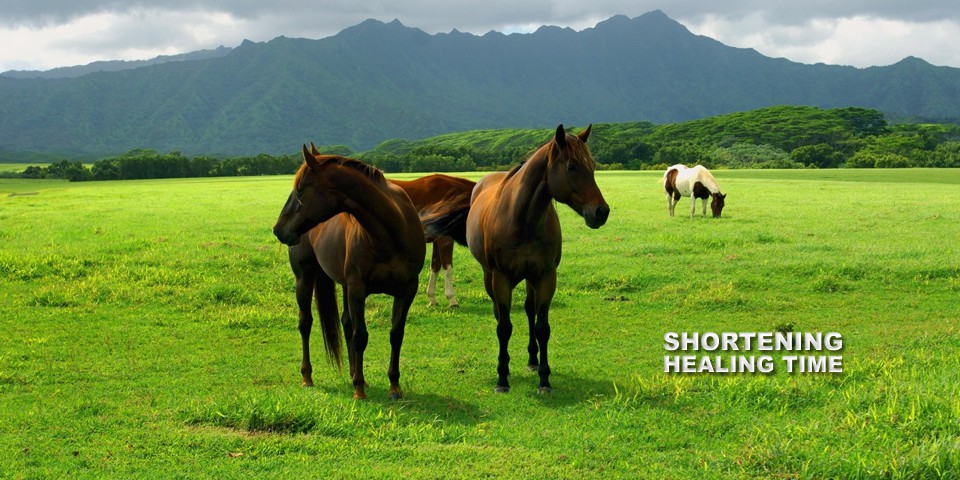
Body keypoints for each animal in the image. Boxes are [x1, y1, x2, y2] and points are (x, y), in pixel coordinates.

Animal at [272, 145, 426, 400]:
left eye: (300, 190)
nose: (278, 230)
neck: (391, 233)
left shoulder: (407, 290)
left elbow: (396, 334)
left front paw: (394, 386)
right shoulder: (357, 289)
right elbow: (360, 336)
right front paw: (359, 390)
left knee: (345, 322)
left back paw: (354, 372)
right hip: (305, 278)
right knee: (306, 323)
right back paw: (308, 377)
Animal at [389, 174, 476, 308]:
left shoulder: (437, 241)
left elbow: (435, 267)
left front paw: (432, 298)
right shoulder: (445, 240)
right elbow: (448, 268)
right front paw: (452, 300)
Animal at [426, 124, 609, 394]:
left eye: (593, 165)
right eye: (572, 167)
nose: (601, 212)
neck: (523, 219)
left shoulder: (545, 276)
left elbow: (542, 327)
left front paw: (544, 378)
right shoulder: (501, 278)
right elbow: (504, 327)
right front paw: (502, 377)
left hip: (530, 279)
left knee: (529, 311)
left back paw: (533, 360)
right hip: (490, 277)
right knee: (499, 314)